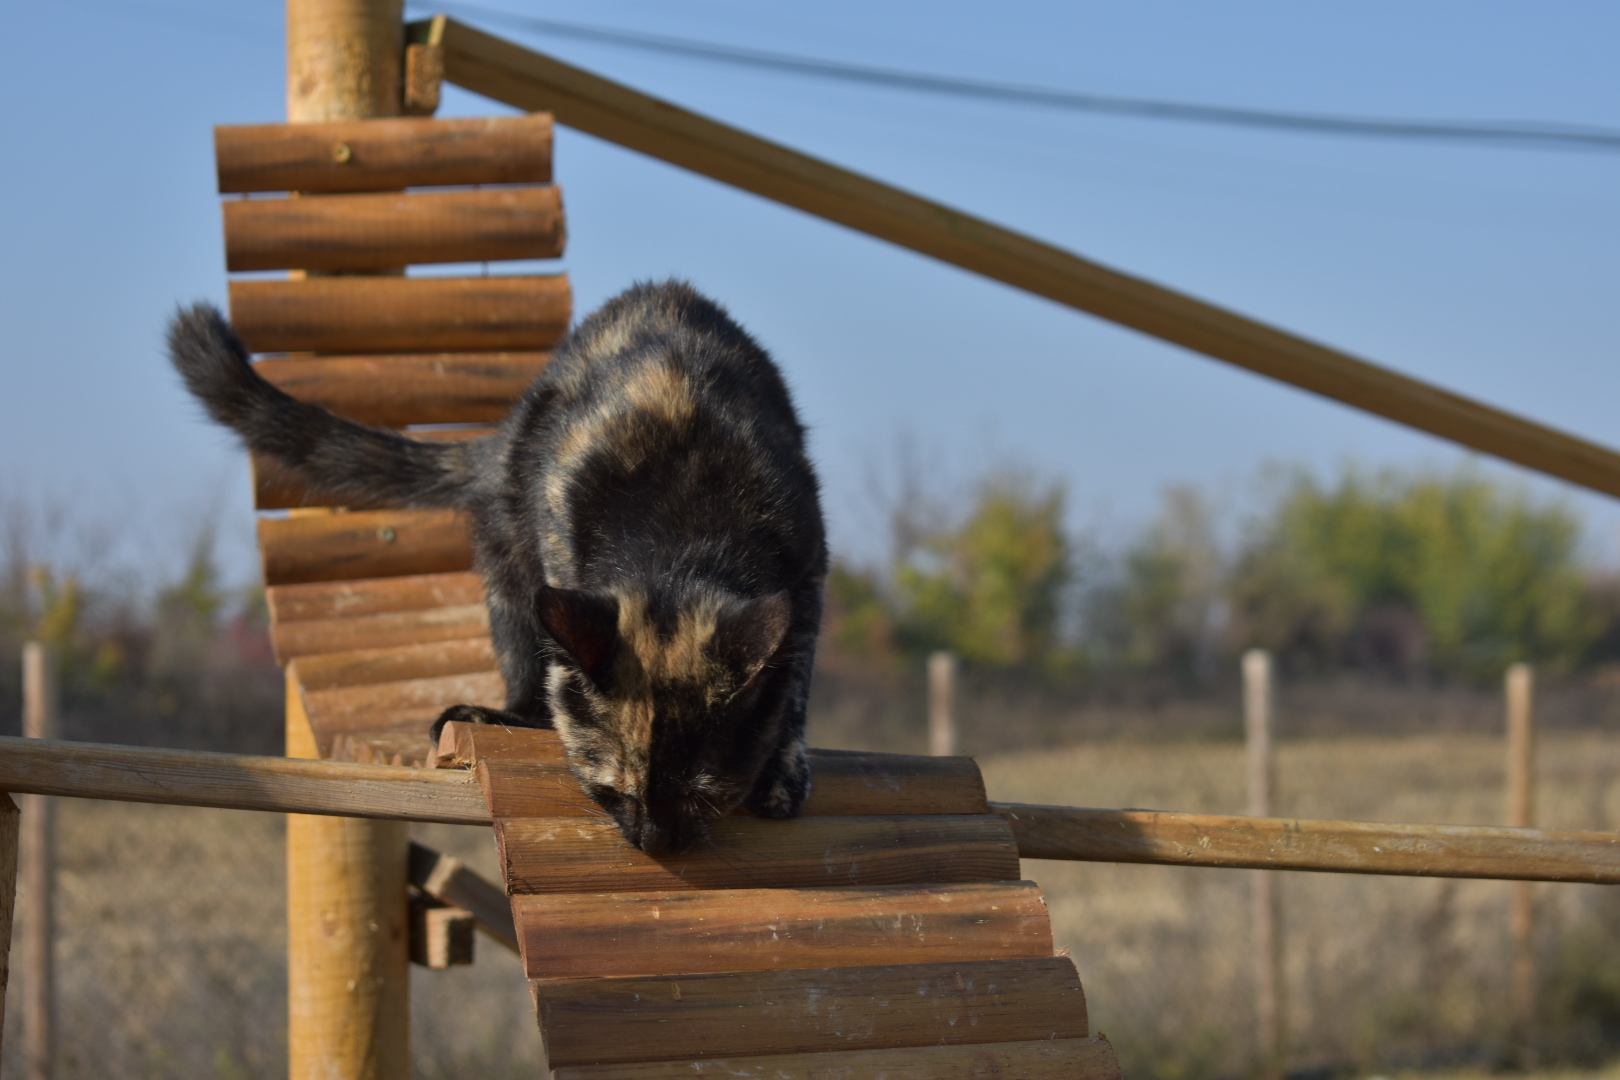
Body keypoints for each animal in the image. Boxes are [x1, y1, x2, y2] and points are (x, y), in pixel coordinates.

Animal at [169, 280, 827, 854]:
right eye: (613, 790)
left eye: (701, 797)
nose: (654, 844)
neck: (683, 538)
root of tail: (499, 441)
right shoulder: (559, 528)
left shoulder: (808, 565)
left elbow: (795, 681)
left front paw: (782, 770)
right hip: (510, 560)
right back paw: (503, 711)